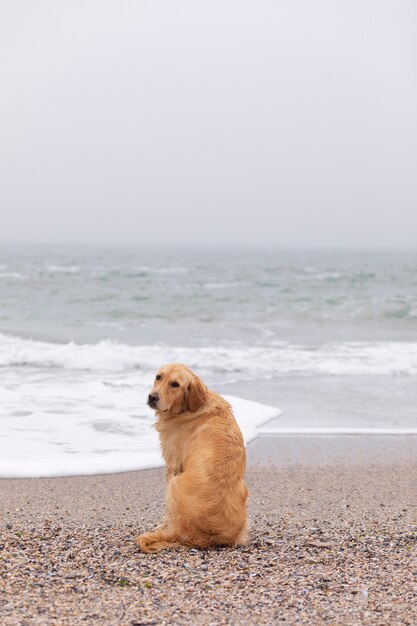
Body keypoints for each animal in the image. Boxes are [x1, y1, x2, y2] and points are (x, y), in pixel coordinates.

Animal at [136, 360, 247, 552]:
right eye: (159, 377)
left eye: (175, 384)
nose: (152, 397)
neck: (188, 408)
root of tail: (208, 536)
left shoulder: (172, 464)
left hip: (175, 484)